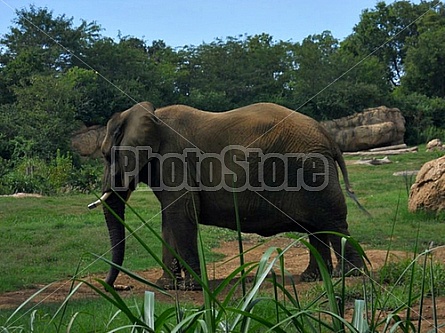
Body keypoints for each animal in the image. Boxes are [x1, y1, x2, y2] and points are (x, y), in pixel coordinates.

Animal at [91, 102, 364, 290]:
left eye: (106, 156)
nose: (115, 286)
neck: (148, 114)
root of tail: (327, 135)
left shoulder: (173, 160)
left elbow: (182, 214)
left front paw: (191, 287)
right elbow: (170, 219)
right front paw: (167, 286)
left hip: (313, 170)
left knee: (333, 223)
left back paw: (349, 275)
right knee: (317, 227)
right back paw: (313, 278)